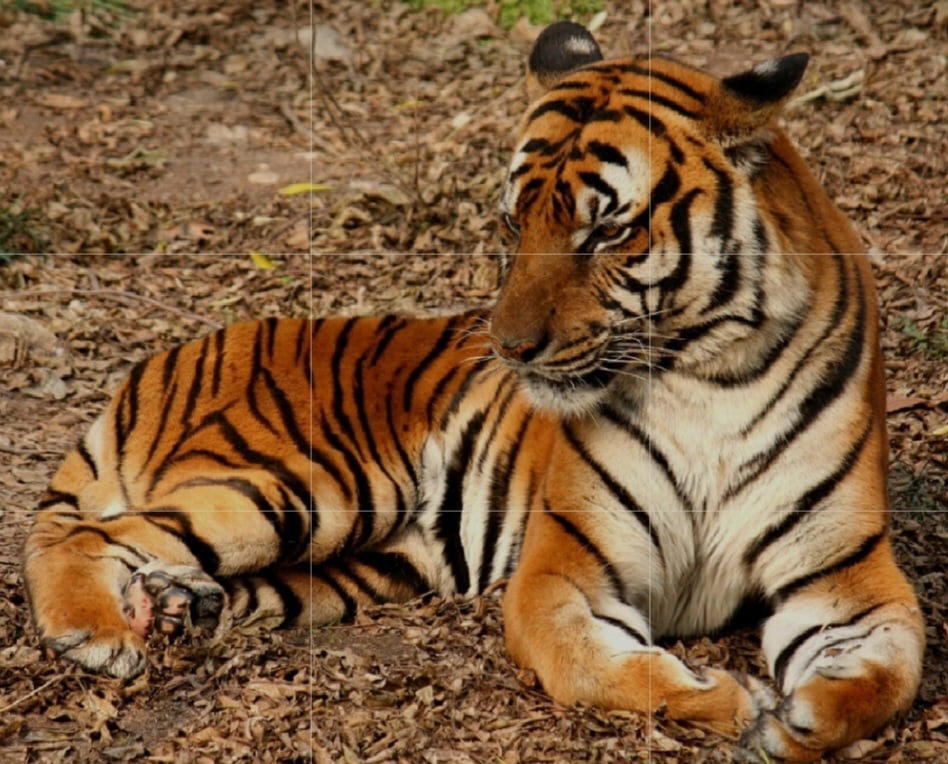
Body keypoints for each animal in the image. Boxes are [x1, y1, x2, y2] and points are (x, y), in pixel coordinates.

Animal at [24, 20, 923, 763]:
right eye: (513, 223)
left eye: (607, 230)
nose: (511, 349)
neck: (708, 375)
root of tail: (165, 358)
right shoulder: (565, 568)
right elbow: (598, 667)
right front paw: (733, 703)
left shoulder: (845, 576)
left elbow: (893, 671)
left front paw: (802, 719)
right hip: (304, 483)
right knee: (88, 533)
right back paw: (96, 633)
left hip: (371, 562)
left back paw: (178, 607)